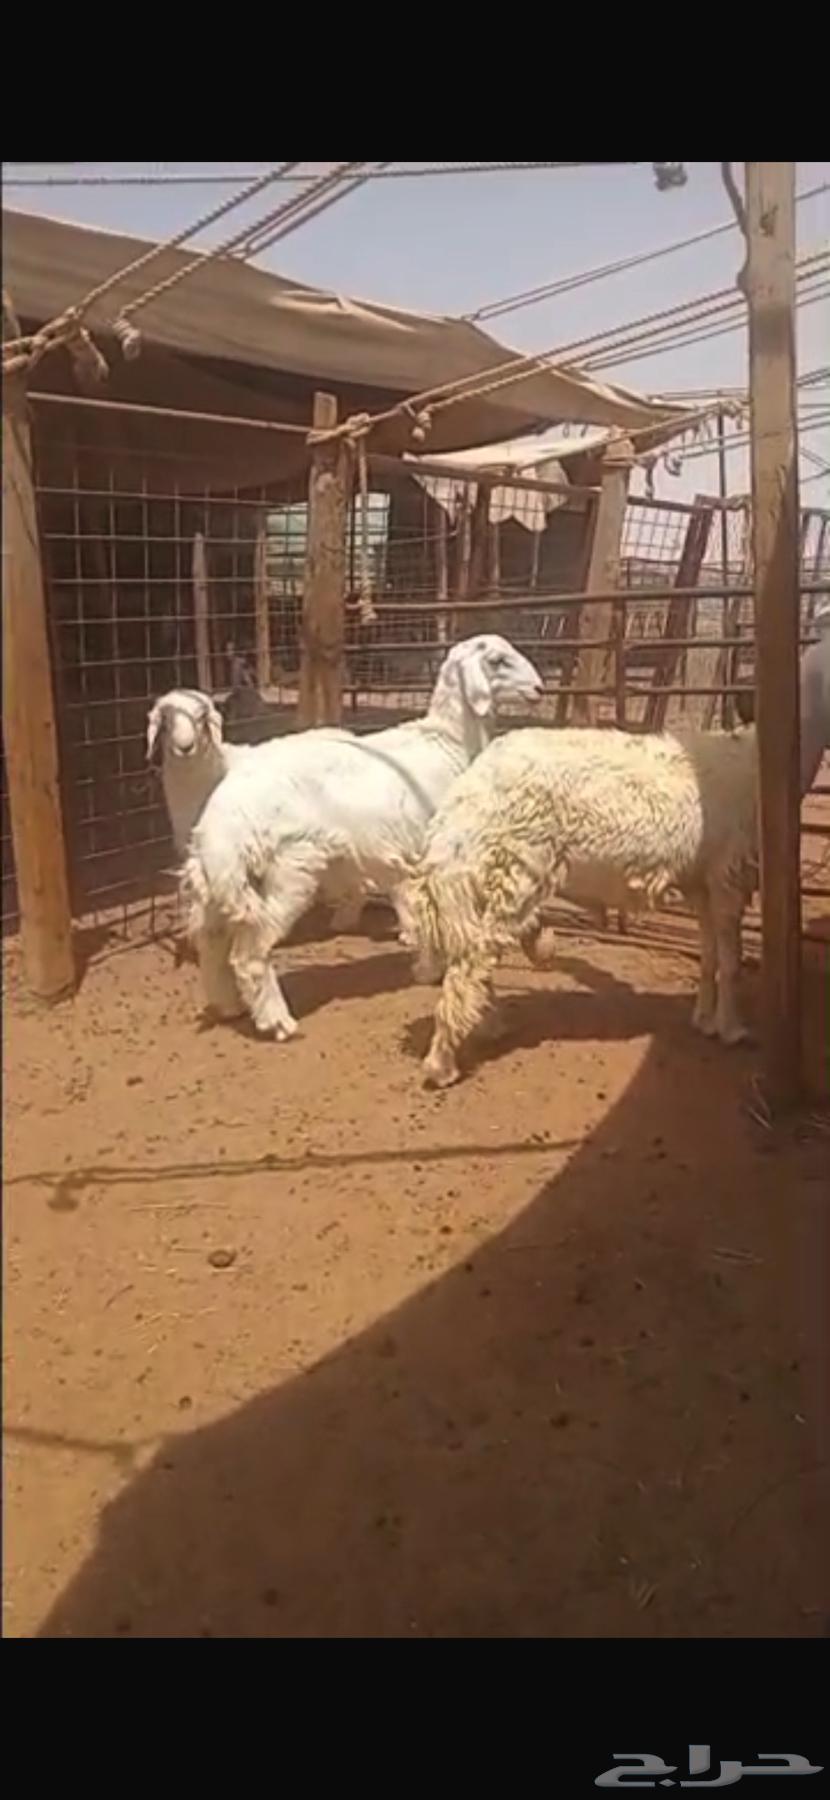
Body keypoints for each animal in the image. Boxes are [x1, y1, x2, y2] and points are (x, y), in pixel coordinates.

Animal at [181, 635, 544, 1040]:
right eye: (497, 661)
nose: (539, 689)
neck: (450, 743)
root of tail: (221, 824)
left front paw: (425, 967)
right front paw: (431, 969)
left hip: (220, 886)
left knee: (211, 946)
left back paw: (228, 1006)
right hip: (287, 870)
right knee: (249, 955)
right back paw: (278, 1022)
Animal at [403, 723, 760, 1086]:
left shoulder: (702, 882)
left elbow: (710, 956)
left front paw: (705, 1019)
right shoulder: (728, 875)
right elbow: (731, 961)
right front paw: (731, 1029)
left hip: (486, 884)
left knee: (476, 960)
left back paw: (488, 1025)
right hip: (512, 874)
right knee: (470, 965)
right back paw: (443, 1064)